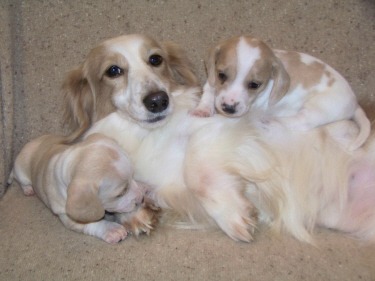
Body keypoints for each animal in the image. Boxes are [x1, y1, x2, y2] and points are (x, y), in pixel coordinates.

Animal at [8, 132, 159, 242]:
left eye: (133, 176)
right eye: (120, 193)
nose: (141, 199)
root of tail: (31, 143)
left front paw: (144, 188)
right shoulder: (69, 218)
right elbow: (94, 223)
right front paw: (111, 229)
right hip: (21, 171)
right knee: (20, 179)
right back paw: (28, 189)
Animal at [192, 35, 372, 151]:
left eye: (254, 85)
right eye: (221, 75)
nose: (228, 108)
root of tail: (355, 103)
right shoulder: (213, 82)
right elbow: (209, 91)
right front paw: (203, 109)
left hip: (318, 108)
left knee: (301, 122)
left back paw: (271, 121)